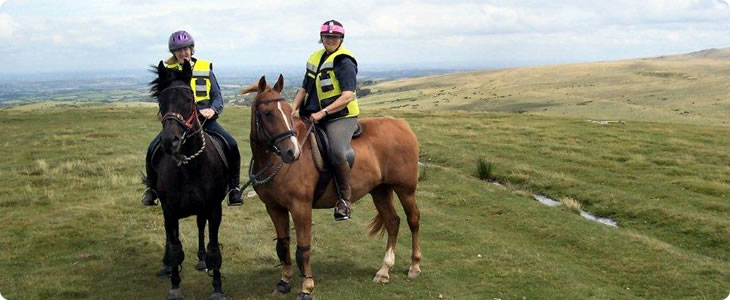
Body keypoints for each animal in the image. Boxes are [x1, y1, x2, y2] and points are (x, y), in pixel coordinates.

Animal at [148, 61, 228, 300]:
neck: (189, 166)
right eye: (161, 101)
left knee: (201, 226)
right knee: (170, 236)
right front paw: (175, 285)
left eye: (189, 99)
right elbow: (175, 249)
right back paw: (166, 265)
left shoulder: (213, 209)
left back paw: (202, 260)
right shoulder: (170, 210)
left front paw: (217, 287)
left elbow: (214, 249)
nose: (170, 141)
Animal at [240, 75, 420, 300]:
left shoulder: (301, 207)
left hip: (405, 189)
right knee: (393, 222)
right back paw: (384, 270)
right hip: (380, 190)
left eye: (288, 111)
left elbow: (303, 249)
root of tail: (403, 126)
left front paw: (307, 287)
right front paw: (284, 282)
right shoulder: (274, 208)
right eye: (268, 113)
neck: (275, 160)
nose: (292, 152)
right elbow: (283, 245)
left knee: (413, 219)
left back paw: (414, 266)